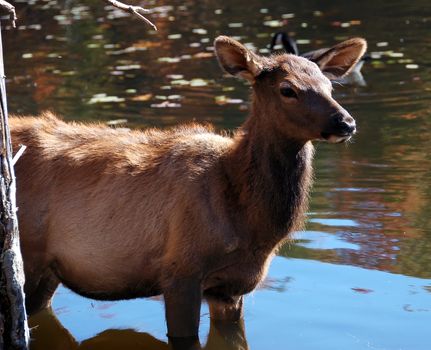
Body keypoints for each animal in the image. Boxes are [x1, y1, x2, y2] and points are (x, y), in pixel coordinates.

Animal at [10, 34, 366, 340]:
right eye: (287, 89)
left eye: (329, 86)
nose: (346, 123)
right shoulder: (181, 270)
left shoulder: (231, 287)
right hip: (27, 253)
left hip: (49, 272)